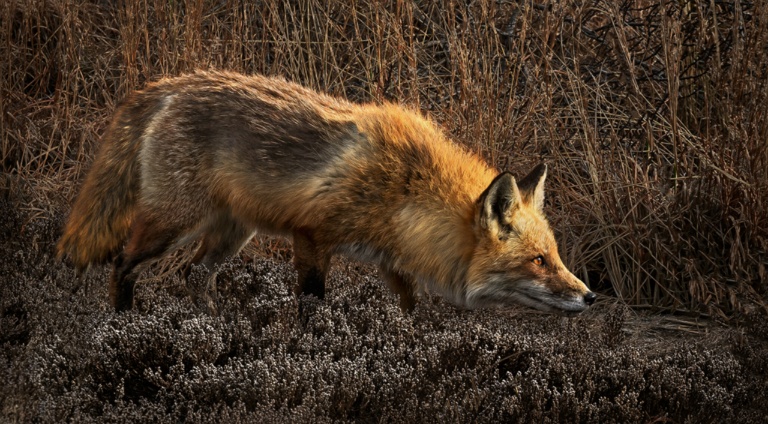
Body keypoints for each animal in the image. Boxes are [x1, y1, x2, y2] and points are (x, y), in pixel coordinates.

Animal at [57, 70, 596, 315]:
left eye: (554, 255)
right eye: (538, 261)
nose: (590, 296)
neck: (406, 190)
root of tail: (170, 83)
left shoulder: (392, 262)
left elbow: (410, 315)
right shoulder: (312, 237)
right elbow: (313, 307)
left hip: (232, 233)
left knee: (194, 276)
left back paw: (213, 327)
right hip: (172, 223)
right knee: (123, 263)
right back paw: (126, 325)